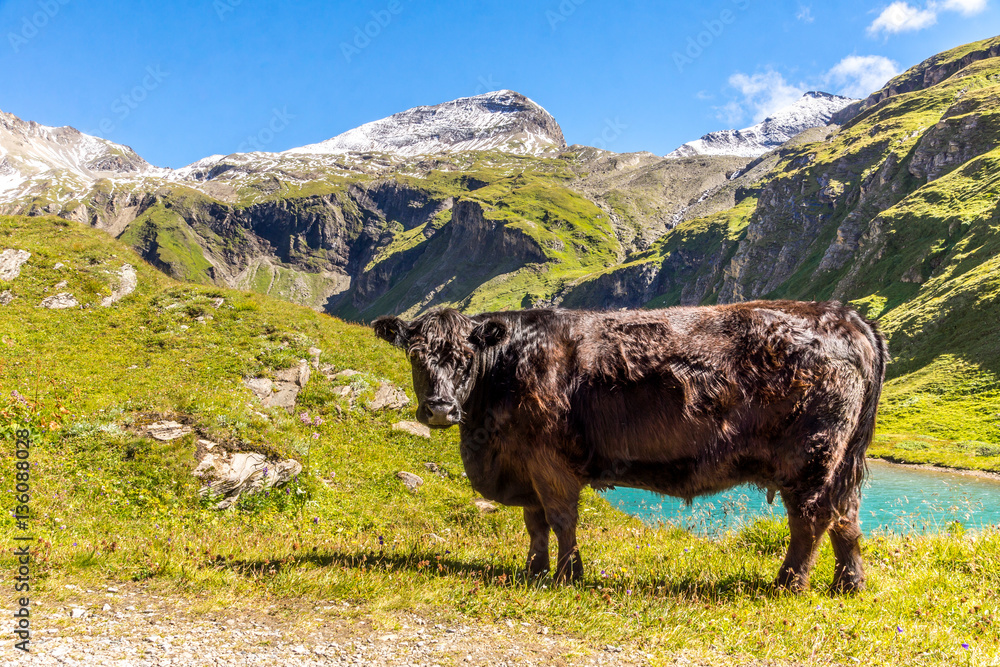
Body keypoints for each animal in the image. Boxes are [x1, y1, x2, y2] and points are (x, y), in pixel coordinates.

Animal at [373, 301, 887, 593]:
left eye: (464, 357)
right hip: (841, 460)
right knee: (846, 517)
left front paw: (567, 576)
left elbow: (561, 519)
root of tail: (845, 316)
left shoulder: (548, 460)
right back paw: (849, 585)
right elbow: (535, 524)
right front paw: (535, 571)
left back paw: (788, 584)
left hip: (811, 457)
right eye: (415, 356)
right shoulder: (525, 464)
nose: (440, 408)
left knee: (812, 518)